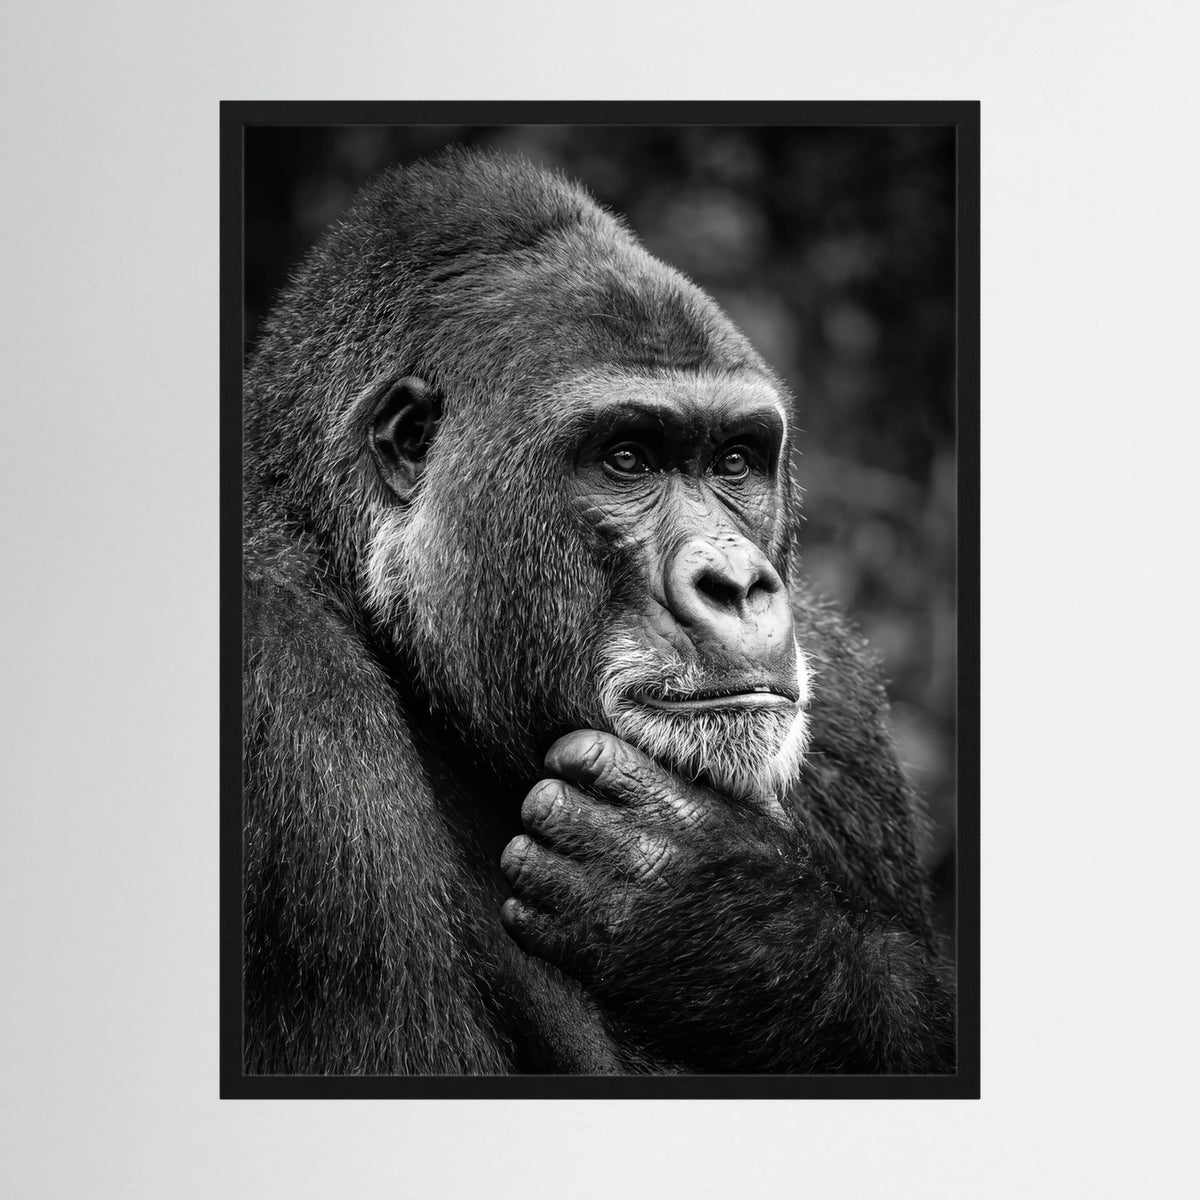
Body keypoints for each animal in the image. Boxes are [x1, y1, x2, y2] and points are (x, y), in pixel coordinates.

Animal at [241, 148, 955, 1075]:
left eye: (735, 460)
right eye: (627, 459)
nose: (738, 583)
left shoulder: (842, 702)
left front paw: (731, 917)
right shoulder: (282, 695)